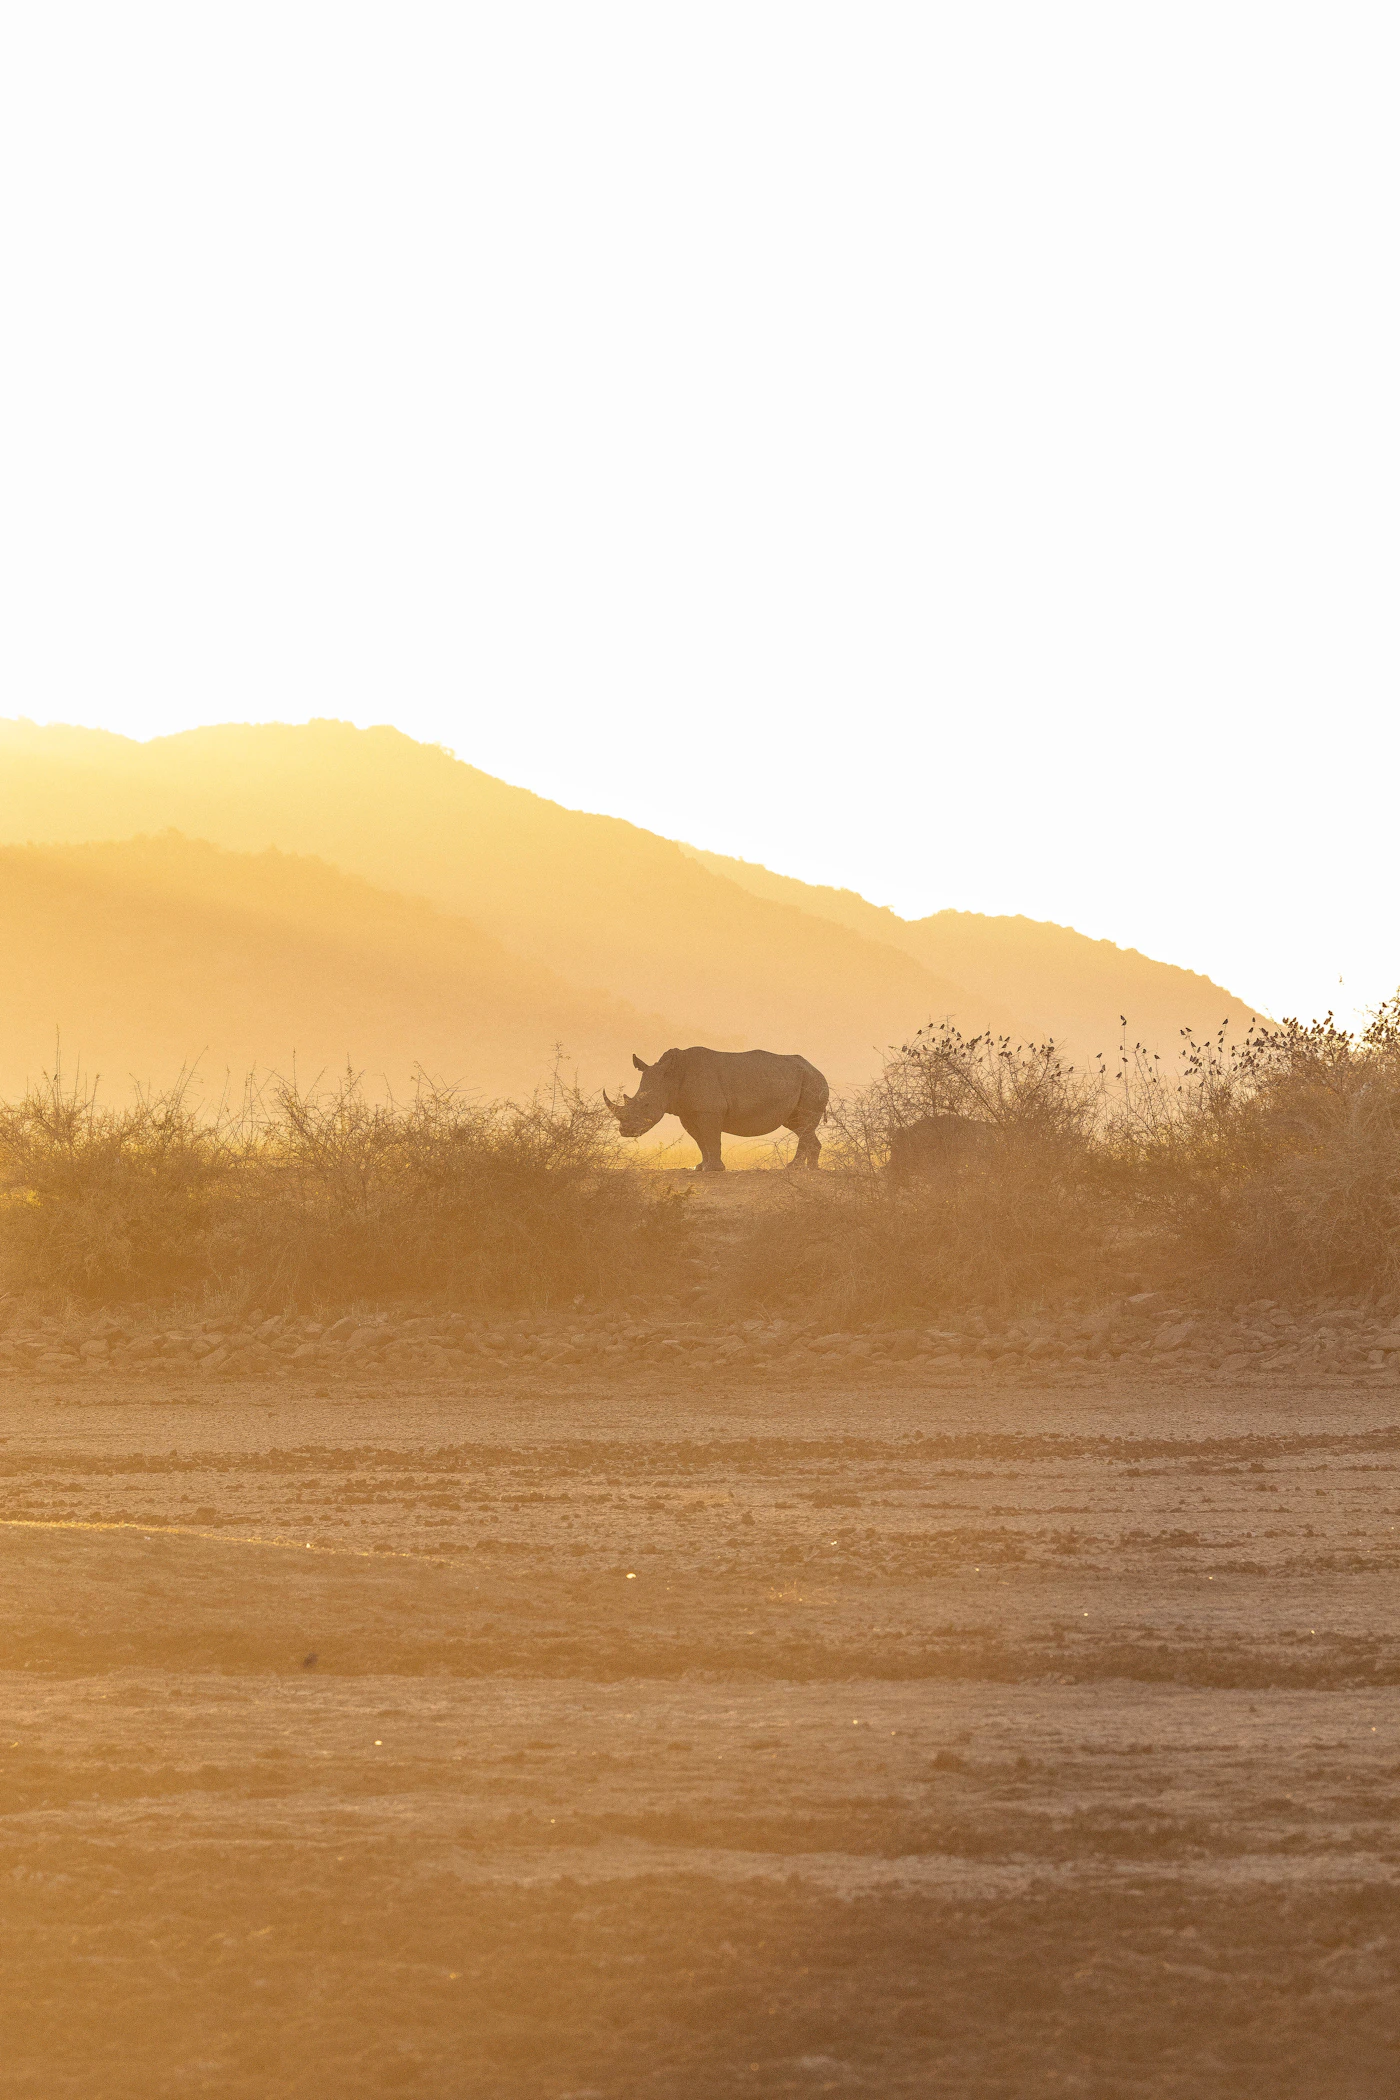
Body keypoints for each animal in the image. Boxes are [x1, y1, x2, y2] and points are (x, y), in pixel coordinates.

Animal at [604, 1046, 829, 1171]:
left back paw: (795, 1168)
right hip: (803, 1080)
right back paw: (811, 1169)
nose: (625, 1131)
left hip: (812, 1081)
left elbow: (711, 1138)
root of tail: (817, 1069)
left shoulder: (709, 1110)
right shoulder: (688, 1112)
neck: (671, 1077)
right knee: (798, 1125)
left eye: (647, 1105)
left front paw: (713, 1169)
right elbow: (701, 1140)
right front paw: (700, 1167)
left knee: (804, 1123)